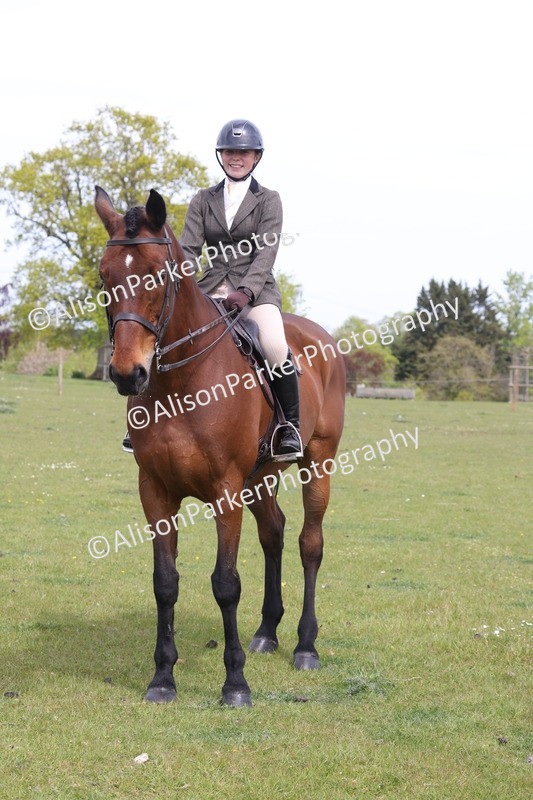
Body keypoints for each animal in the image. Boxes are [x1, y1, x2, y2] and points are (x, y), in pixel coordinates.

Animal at [94, 186, 346, 706]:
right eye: (105, 277)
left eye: (157, 276)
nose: (128, 375)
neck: (181, 383)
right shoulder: (155, 492)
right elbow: (165, 583)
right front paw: (162, 678)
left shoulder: (225, 492)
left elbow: (226, 584)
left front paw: (235, 684)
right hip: (261, 477)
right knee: (273, 532)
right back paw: (267, 633)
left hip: (318, 462)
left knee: (309, 543)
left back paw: (305, 645)